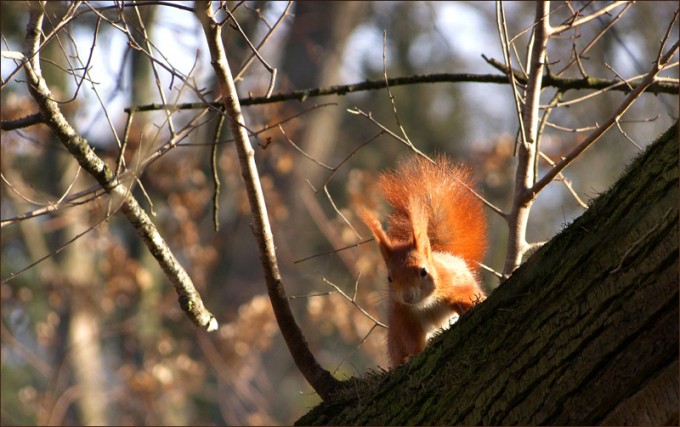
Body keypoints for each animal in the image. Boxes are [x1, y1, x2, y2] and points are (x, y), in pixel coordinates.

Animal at [361, 155, 487, 367]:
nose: (407, 296)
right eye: (389, 278)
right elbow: (412, 339)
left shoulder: (456, 285)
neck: (425, 303)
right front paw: (411, 356)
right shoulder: (404, 315)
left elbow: (467, 297)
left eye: (423, 271)